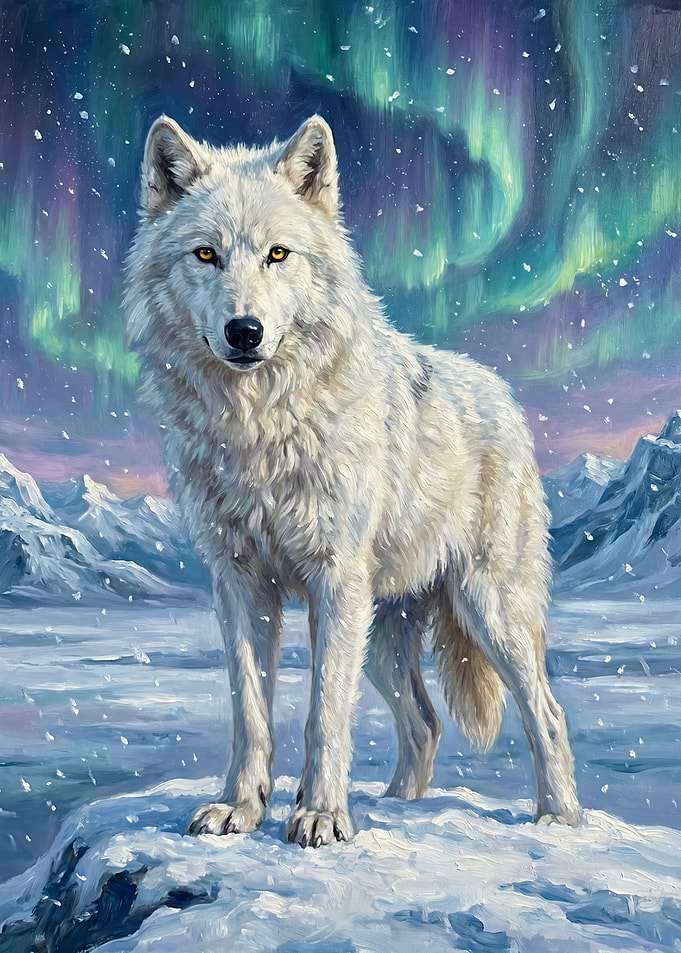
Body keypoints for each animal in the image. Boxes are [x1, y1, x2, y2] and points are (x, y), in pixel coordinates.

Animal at [125, 114, 580, 848]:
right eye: (205, 255)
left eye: (278, 255)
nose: (244, 330)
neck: (262, 426)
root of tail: (501, 392)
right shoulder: (239, 581)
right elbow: (250, 710)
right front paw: (240, 808)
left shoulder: (333, 580)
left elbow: (324, 715)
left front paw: (320, 814)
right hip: (382, 633)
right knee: (424, 722)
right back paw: (397, 805)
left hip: (485, 608)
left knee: (546, 711)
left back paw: (559, 819)